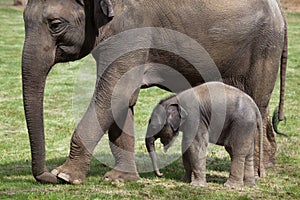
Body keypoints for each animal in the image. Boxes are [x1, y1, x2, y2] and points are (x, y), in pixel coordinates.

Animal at [22, 0, 288, 184]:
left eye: (55, 24)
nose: (46, 176)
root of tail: (281, 12)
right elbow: (123, 98)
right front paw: (120, 178)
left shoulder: (132, 28)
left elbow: (113, 92)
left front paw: (65, 176)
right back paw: (266, 167)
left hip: (263, 49)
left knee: (258, 101)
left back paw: (257, 174)